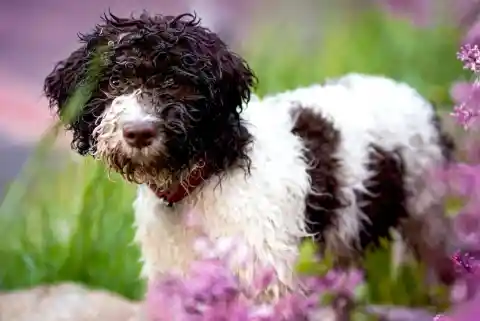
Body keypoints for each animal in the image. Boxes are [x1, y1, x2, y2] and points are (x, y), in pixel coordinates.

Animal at [45, 11, 458, 298]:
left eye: (176, 84)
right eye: (115, 81)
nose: (139, 132)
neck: (202, 182)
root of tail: (415, 95)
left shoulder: (268, 279)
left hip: (428, 225)